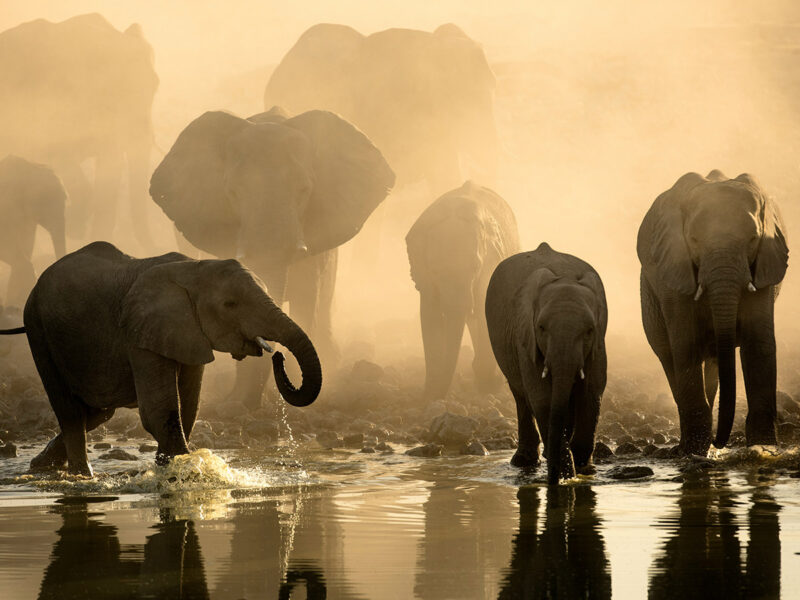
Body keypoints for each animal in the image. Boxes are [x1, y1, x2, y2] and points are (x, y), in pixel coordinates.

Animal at [0, 241, 320, 476]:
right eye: (230, 304)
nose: (278, 355)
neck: (194, 267)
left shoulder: (188, 332)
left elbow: (188, 406)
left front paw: (170, 467)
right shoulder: (140, 332)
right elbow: (159, 410)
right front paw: (185, 471)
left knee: (97, 412)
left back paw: (39, 466)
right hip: (38, 329)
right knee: (70, 411)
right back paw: (82, 477)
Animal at [406, 181, 519, 399]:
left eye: (475, 267)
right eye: (435, 270)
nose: (442, 394)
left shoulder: (489, 265)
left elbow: (485, 309)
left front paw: (489, 386)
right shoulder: (425, 276)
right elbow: (430, 314)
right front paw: (430, 394)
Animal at [486, 243, 608, 484]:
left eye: (589, 330)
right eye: (541, 328)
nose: (553, 480)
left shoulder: (599, 344)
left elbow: (592, 393)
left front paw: (583, 470)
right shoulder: (526, 339)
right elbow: (542, 397)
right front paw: (566, 475)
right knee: (521, 395)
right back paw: (524, 462)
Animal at [637, 170, 788, 455]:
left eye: (753, 239)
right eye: (694, 240)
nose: (721, 441)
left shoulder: (764, 265)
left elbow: (758, 343)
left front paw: (764, 449)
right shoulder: (675, 268)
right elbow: (685, 344)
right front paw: (694, 453)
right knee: (667, 354)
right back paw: (688, 446)